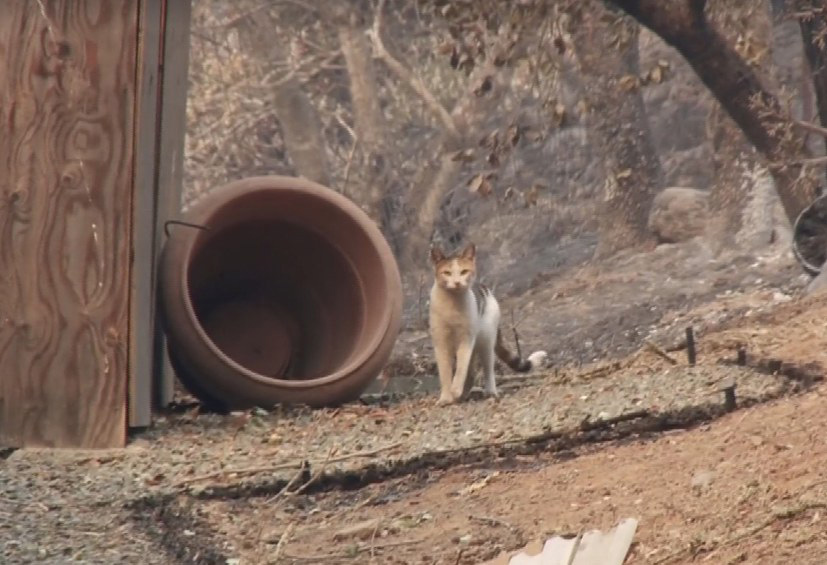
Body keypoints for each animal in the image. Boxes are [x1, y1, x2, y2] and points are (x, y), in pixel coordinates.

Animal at [426, 240, 548, 404]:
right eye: (447, 273)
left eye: (464, 271)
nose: (457, 282)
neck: (452, 304)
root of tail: (488, 292)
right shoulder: (441, 341)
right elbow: (445, 372)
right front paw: (446, 398)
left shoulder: (466, 339)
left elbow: (461, 369)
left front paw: (455, 390)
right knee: (470, 372)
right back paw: (462, 395)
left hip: (485, 339)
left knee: (487, 367)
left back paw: (489, 391)